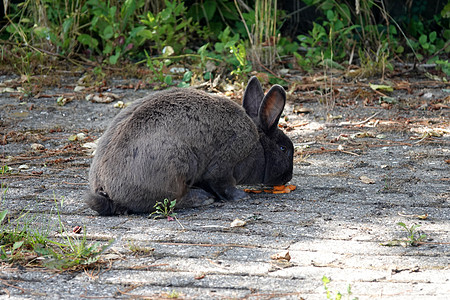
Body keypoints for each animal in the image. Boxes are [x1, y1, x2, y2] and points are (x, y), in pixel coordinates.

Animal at [86, 76, 294, 214]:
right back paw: (202, 199)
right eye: (284, 149)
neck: (258, 145)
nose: (288, 177)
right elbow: (223, 184)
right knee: (171, 200)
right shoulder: (225, 165)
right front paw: (241, 197)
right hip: (178, 166)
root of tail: (104, 189)